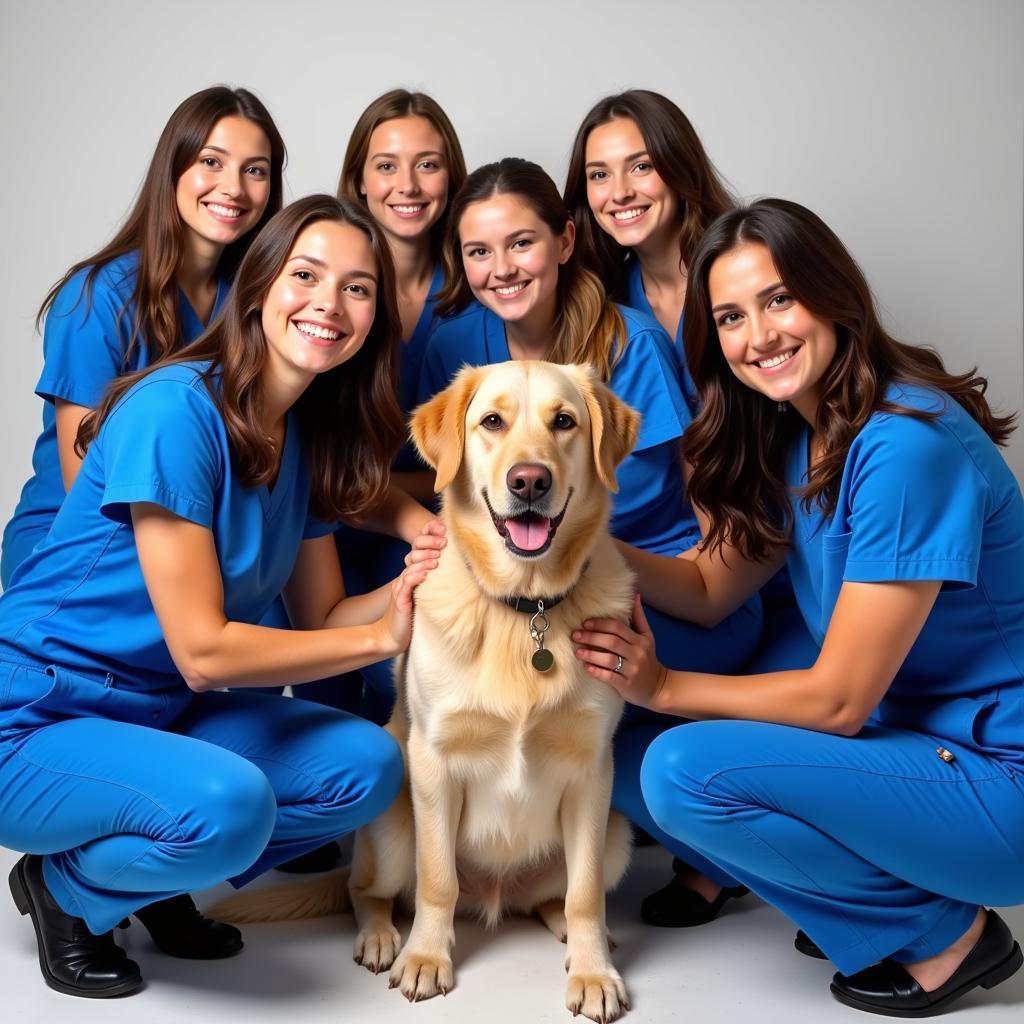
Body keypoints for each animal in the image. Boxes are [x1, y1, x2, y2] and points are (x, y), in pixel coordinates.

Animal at [210, 364, 634, 1019]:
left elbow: (585, 892)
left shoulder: (592, 771)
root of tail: (494, 895)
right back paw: (383, 936)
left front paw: (592, 972)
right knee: (368, 890)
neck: (527, 608)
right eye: (492, 421)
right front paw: (427, 958)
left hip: (616, 833)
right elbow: (437, 879)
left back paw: (572, 932)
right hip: (390, 822)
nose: (529, 480)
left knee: (555, 896)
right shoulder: (433, 760)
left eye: (564, 421)